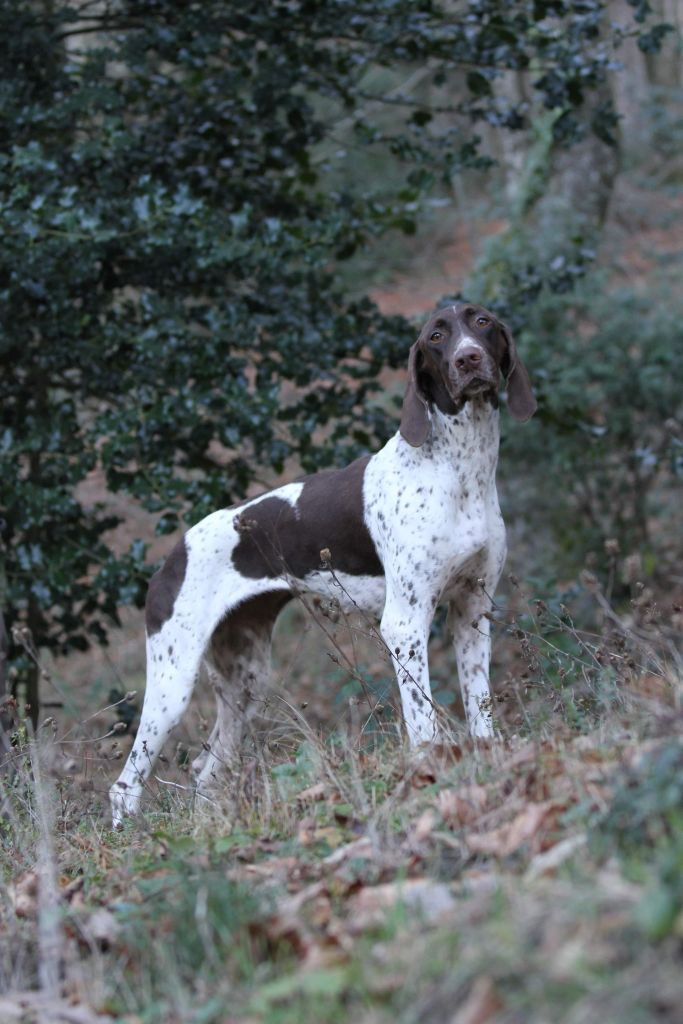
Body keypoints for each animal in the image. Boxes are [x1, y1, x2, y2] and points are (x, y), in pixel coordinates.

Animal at [111, 301, 532, 823]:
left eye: (482, 324)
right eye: (437, 336)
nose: (468, 359)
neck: (459, 469)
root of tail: (169, 556)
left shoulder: (472, 610)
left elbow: (480, 710)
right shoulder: (405, 624)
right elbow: (424, 724)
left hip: (245, 680)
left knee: (205, 771)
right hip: (173, 683)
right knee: (126, 785)